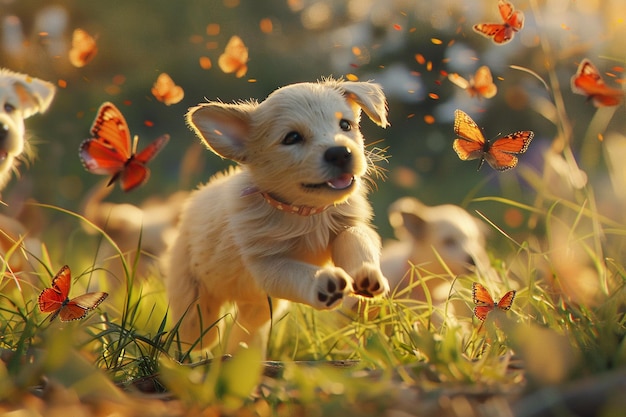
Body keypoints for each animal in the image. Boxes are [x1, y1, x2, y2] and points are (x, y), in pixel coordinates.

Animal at [166, 78, 390, 354]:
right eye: (292, 138)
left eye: (345, 125)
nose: (340, 153)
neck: (308, 213)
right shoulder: (268, 265)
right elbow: (297, 272)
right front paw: (324, 283)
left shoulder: (346, 227)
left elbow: (356, 239)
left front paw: (367, 276)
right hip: (194, 305)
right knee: (195, 338)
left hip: (259, 307)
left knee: (245, 329)